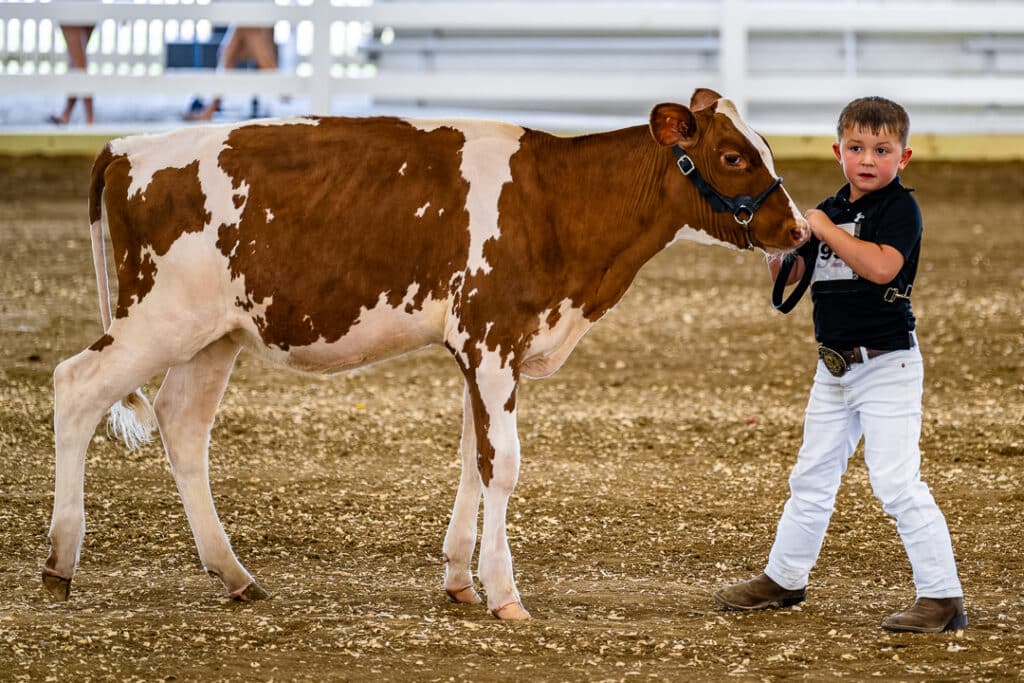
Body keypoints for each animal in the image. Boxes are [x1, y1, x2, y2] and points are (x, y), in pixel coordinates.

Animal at [43, 88, 808, 619]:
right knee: (76, 385)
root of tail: (127, 147)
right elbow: (504, 465)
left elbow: (474, 459)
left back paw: (234, 574)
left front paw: (460, 580)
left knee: (182, 425)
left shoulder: (483, 350)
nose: (799, 229)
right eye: (734, 156)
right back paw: (60, 561)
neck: (557, 201)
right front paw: (505, 593)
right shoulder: (493, 338)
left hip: (212, 334)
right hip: (157, 317)